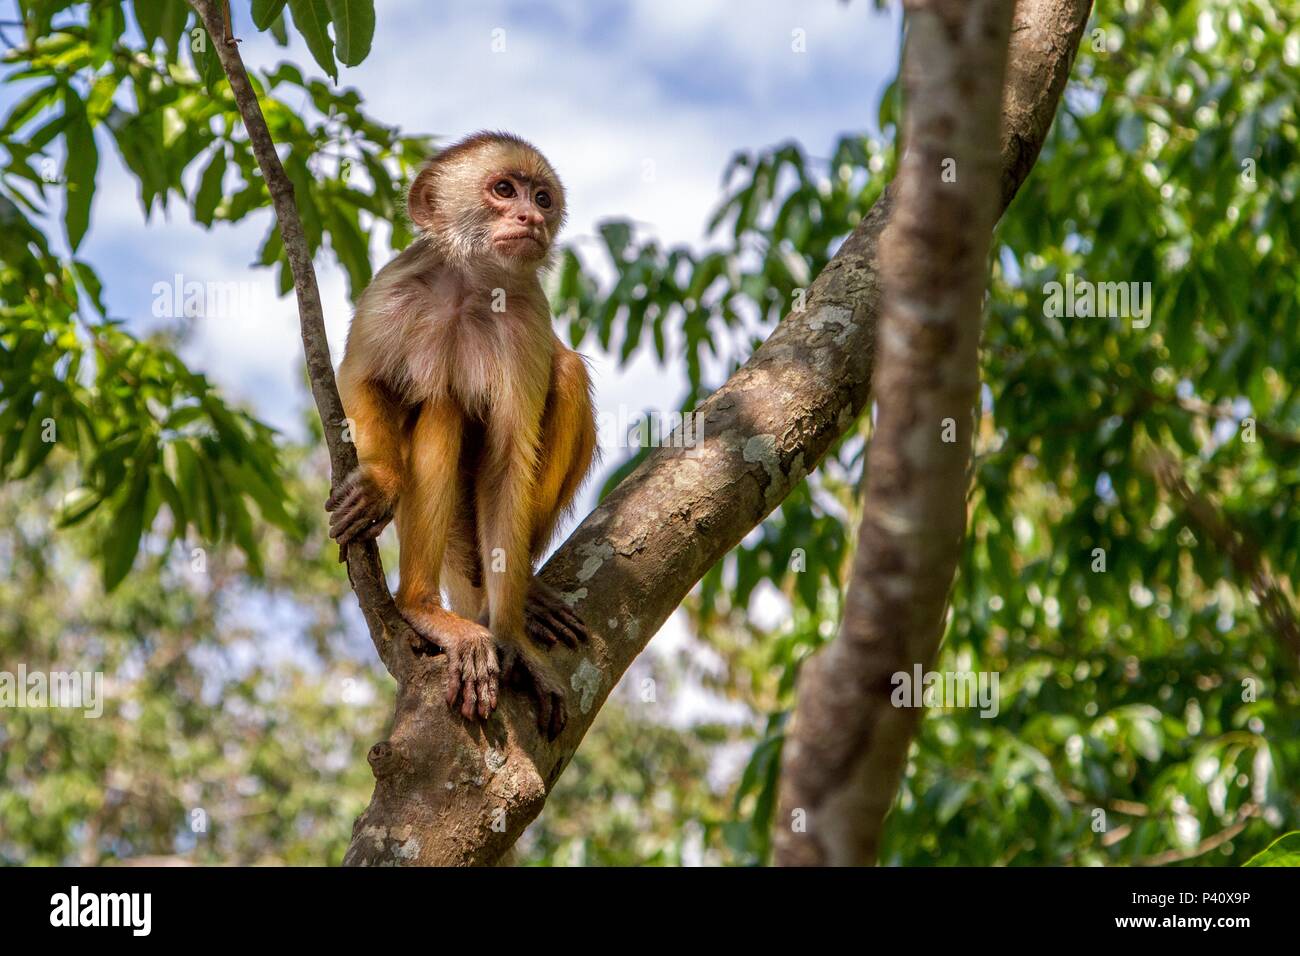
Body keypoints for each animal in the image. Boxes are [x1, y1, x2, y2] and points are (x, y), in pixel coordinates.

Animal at [325, 132, 597, 740]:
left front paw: (514, 638)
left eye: (542, 198)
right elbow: (361, 379)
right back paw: (420, 605)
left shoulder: (526, 314)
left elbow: (508, 461)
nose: (530, 217)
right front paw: (379, 482)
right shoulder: (395, 284)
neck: (470, 287)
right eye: (504, 190)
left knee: (565, 371)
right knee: (442, 404)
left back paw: (521, 595)